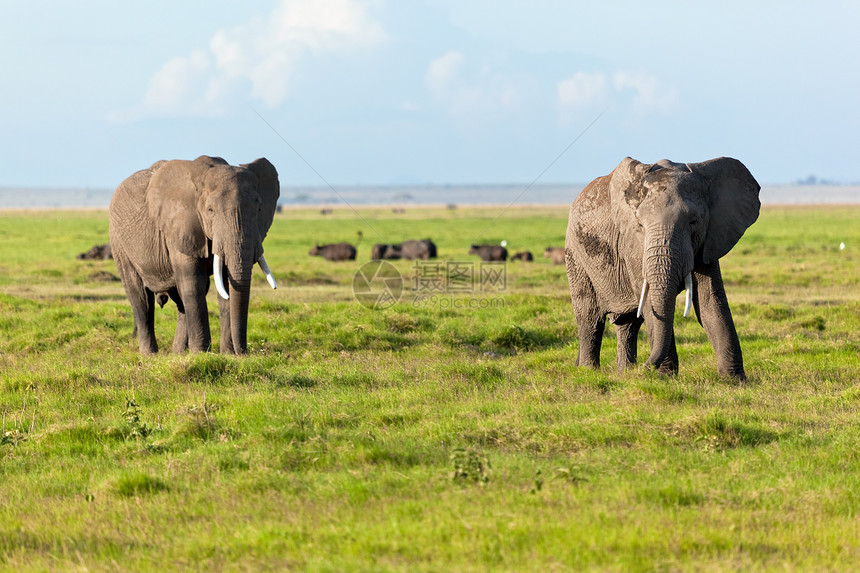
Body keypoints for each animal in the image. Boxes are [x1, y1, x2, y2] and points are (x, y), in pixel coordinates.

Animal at [109, 154, 280, 356]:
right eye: (210, 211)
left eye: (259, 210)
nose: (243, 353)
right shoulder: (180, 226)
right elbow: (193, 284)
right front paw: (201, 354)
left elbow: (225, 285)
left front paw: (227, 354)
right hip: (119, 241)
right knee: (141, 299)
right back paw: (149, 354)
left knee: (180, 300)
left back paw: (178, 353)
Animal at [564, 156, 760, 380]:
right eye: (640, 225)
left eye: (694, 222)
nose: (646, 368)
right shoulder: (633, 244)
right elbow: (650, 299)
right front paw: (665, 378)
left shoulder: (709, 239)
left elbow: (711, 301)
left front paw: (735, 381)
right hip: (575, 255)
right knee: (589, 317)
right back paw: (588, 372)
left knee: (628, 324)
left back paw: (624, 373)